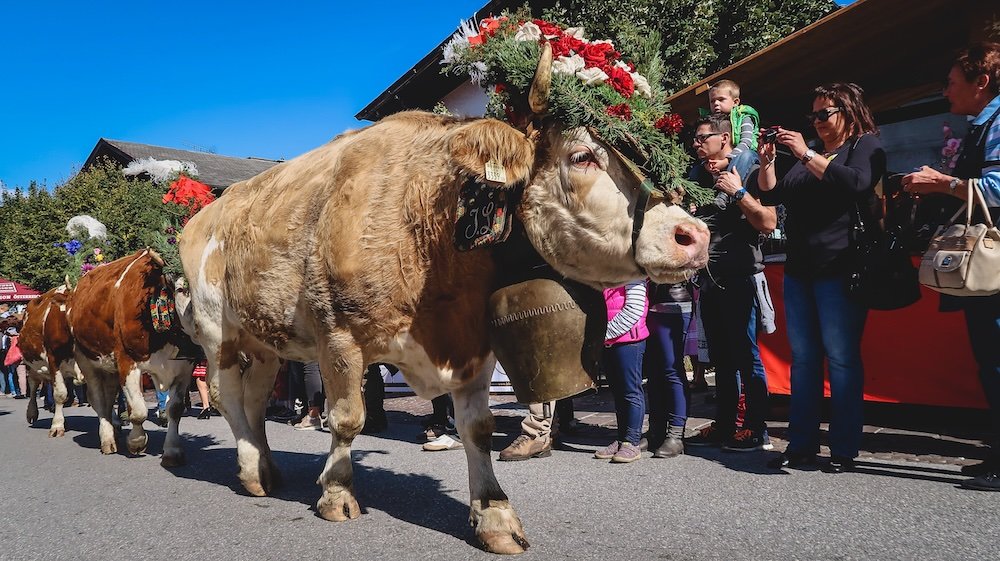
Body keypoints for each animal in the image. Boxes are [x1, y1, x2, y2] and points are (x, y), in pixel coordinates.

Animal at [17, 286, 78, 436]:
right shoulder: (53, 360)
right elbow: (60, 394)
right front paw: (57, 426)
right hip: (31, 366)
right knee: (33, 385)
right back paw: (32, 413)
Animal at [68, 249, 197, 464]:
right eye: (180, 289)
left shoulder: (184, 369)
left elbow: (175, 409)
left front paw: (172, 451)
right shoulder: (127, 361)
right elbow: (138, 411)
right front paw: (136, 442)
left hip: (109, 368)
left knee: (108, 397)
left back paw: (115, 429)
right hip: (86, 360)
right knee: (98, 399)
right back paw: (108, 440)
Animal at [180, 109, 712, 552]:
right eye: (582, 157)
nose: (695, 235)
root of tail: (203, 215)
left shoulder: (472, 344)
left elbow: (478, 428)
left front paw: (494, 515)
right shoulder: (338, 335)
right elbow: (347, 419)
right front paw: (336, 494)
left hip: (263, 341)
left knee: (252, 399)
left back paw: (264, 466)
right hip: (216, 329)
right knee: (227, 396)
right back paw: (250, 470)